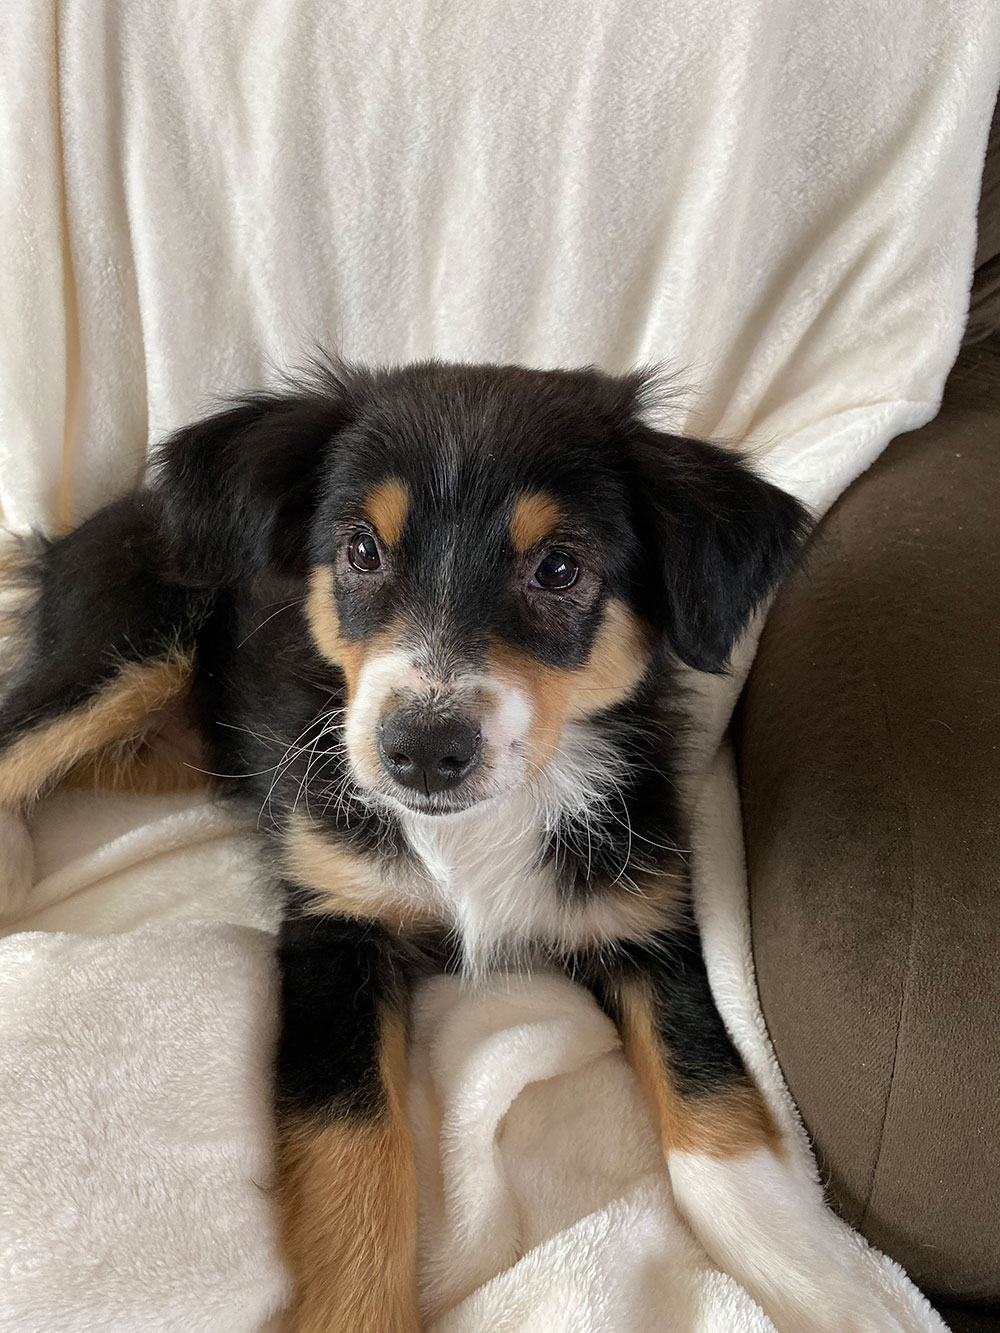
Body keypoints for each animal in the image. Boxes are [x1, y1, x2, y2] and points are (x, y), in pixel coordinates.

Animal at [0, 365, 816, 1333]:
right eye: (361, 549)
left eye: (559, 567)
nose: (423, 750)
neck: (478, 825)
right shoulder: (336, 925)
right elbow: (356, 1153)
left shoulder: (648, 913)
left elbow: (716, 1109)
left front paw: (827, 1289)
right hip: (125, 646)